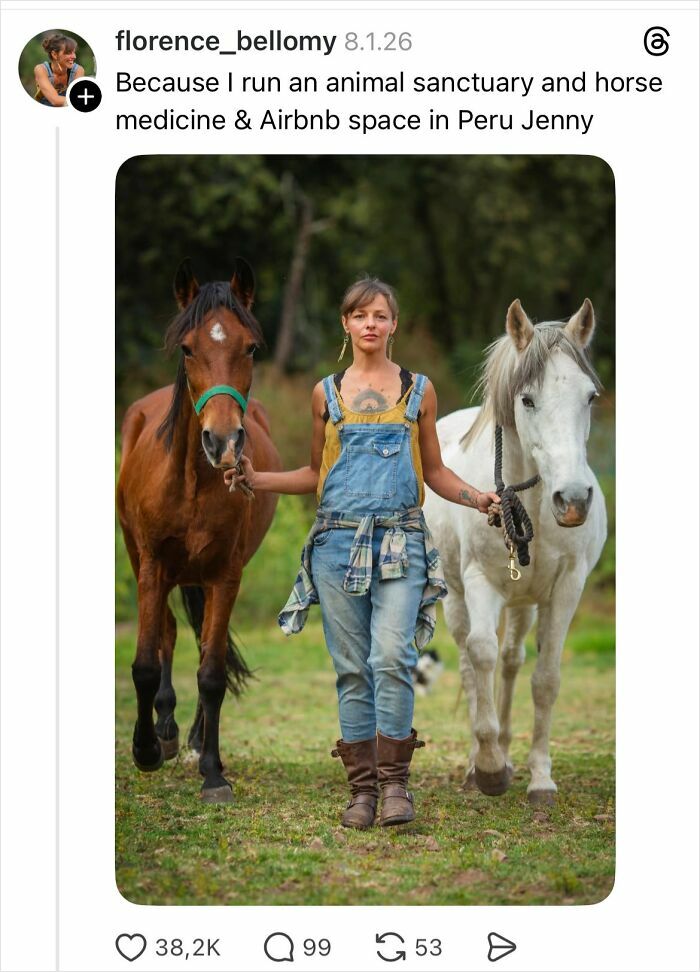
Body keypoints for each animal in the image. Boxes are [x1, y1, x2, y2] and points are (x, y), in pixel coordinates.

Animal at [117, 259, 282, 803]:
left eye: (249, 347)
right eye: (188, 348)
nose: (223, 441)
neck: (191, 481)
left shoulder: (225, 576)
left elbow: (212, 672)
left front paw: (212, 771)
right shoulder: (151, 567)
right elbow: (146, 662)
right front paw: (146, 749)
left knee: (205, 648)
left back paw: (190, 738)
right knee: (168, 635)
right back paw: (165, 732)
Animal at [423, 298, 607, 805]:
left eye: (589, 397)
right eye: (527, 400)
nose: (573, 500)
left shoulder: (565, 589)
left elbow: (545, 679)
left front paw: (540, 776)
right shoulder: (480, 583)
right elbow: (481, 654)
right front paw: (488, 768)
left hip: (524, 601)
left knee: (511, 661)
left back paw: (507, 749)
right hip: (457, 596)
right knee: (472, 662)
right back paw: (480, 762)